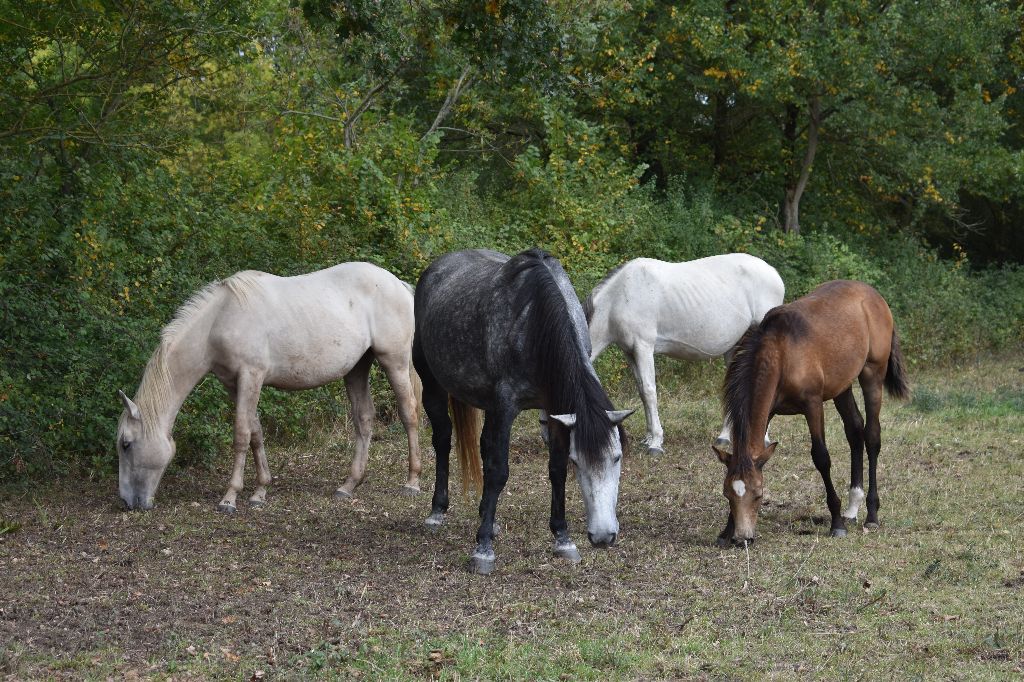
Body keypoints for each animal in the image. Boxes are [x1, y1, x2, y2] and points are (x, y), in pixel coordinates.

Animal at [117, 260, 421, 509]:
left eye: (126, 444)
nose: (128, 502)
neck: (220, 320)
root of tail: (399, 284)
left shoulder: (250, 376)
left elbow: (241, 434)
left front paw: (230, 497)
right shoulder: (235, 384)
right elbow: (256, 432)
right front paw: (260, 491)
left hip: (394, 362)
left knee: (409, 413)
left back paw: (412, 481)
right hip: (357, 368)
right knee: (364, 419)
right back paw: (348, 485)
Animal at [413, 246, 630, 569]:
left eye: (617, 458)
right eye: (578, 461)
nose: (603, 537)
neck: (534, 323)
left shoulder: (554, 409)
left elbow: (555, 469)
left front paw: (563, 538)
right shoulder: (506, 405)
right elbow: (498, 470)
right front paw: (483, 549)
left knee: (483, 444)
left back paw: (487, 517)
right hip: (432, 384)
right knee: (442, 440)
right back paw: (437, 512)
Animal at [585, 251, 782, 454]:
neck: (619, 297)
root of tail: (772, 271)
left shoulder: (643, 347)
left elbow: (649, 391)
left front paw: (656, 443)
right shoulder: (630, 352)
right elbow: (641, 391)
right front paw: (648, 438)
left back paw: (763, 440)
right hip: (734, 346)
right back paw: (724, 438)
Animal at [712, 278, 913, 544]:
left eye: (758, 494)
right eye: (727, 494)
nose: (743, 538)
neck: (782, 352)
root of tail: (873, 295)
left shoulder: (813, 405)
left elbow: (821, 457)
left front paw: (836, 523)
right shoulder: (769, 411)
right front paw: (726, 530)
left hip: (872, 374)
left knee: (872, 435)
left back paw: (871, 514)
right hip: (842, 386)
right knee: (854, 431)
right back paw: (852, 508)